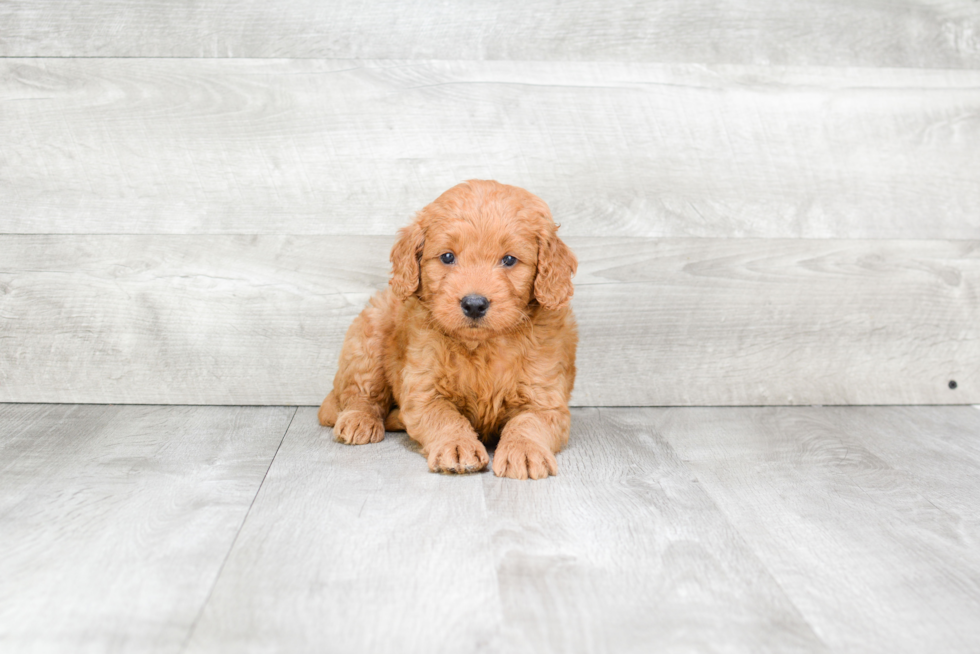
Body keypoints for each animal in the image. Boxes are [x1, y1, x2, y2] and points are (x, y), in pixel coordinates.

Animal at [322, 181, 580, 482]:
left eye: (509, 260)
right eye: (447, 257)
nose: (474, 304)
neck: (481, 347)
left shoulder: (545, 398)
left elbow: (527, 421)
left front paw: (524, 450)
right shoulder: (424, 390)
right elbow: (445, 417)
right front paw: (457, 447)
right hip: (368, 337)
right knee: (360, 392)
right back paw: (358, 420)